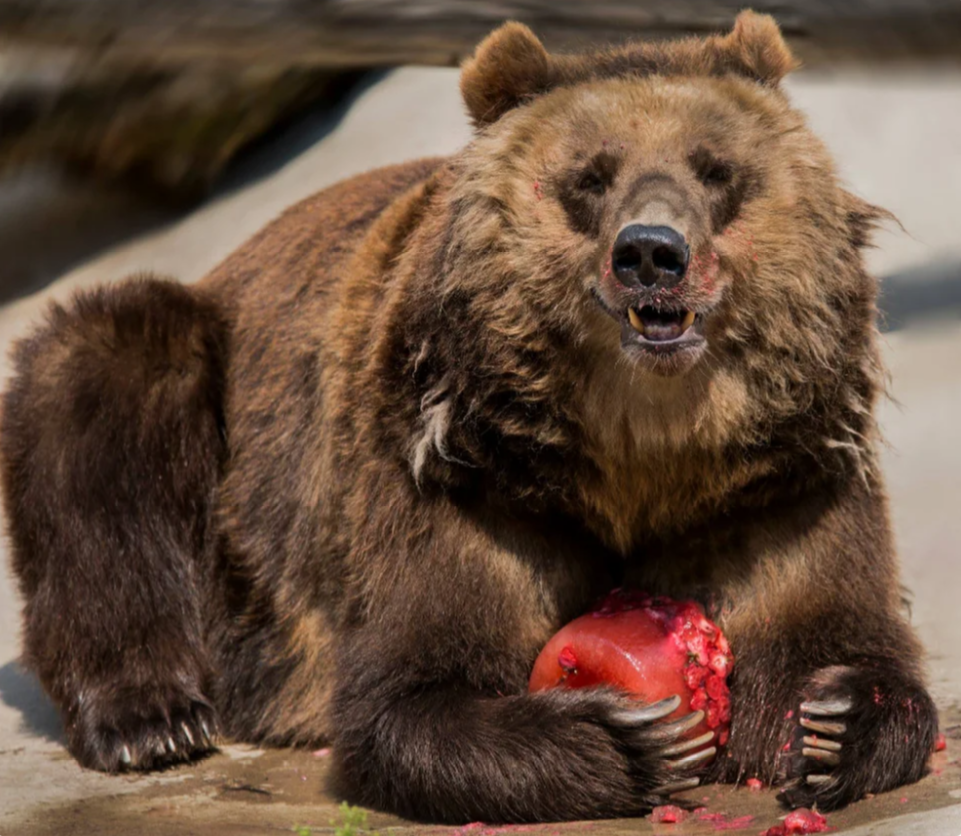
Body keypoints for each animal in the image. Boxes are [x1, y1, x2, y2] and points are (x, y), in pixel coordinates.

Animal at [0, 9, 932, 828]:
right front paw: (634, 738)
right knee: (107, 379)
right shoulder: (465, 479)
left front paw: (834, 717)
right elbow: (414, 691)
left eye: (714, 169)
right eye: (589, 176)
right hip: (222, 422)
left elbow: (824, 628)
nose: (650, 253)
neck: (644, 450)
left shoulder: (781, 482)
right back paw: (150, 714)